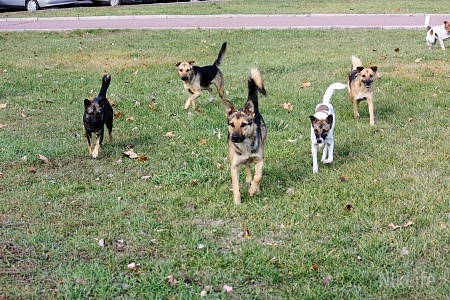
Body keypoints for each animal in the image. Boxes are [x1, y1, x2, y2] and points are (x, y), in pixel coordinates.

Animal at [223, 68, 266, 204]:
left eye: (244, 124)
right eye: (232, 124)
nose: (234, 138)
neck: (245, 145)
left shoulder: (260, 159)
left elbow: (258, 176)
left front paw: (253, 190)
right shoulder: (234, 166)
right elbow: (236, 185)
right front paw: (237, 202)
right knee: (247, 165)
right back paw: (248, 179)